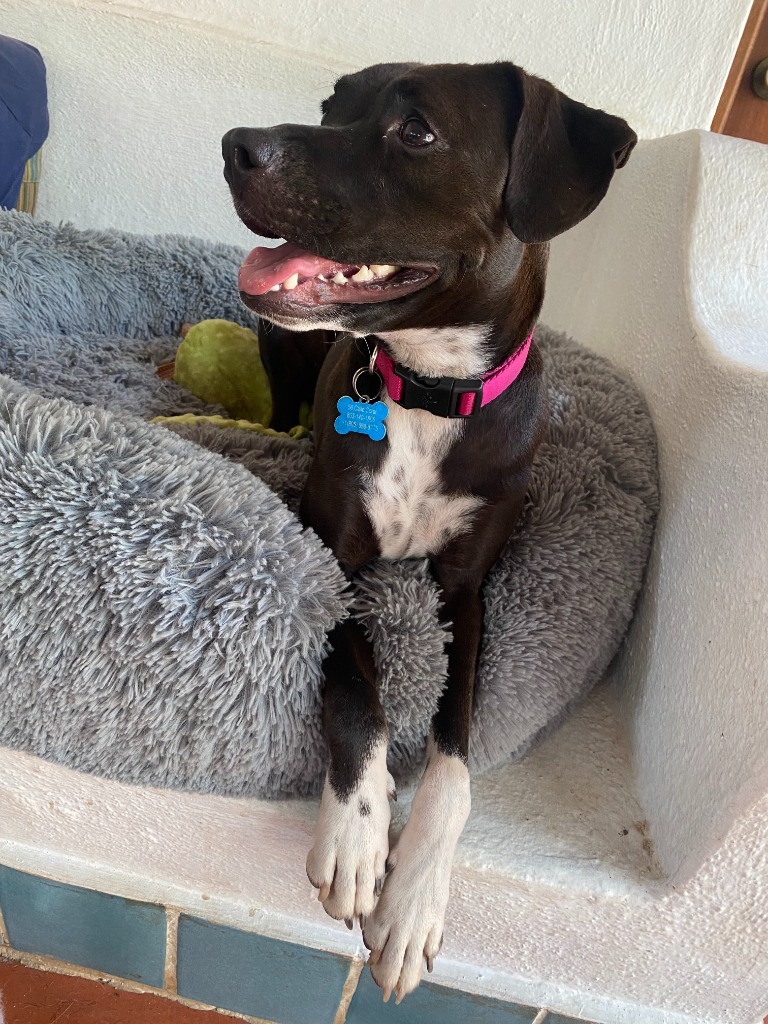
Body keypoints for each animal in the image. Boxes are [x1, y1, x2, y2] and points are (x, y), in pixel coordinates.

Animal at [219, 61, 634, 999]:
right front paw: (360, 827)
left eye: (417, 133)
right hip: (279, 353)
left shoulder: (470, 591)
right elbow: (357, 684)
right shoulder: (329, 554)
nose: (234, 146)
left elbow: (456, 757)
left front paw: (413, 902)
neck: (426, 391)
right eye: (333, 106)